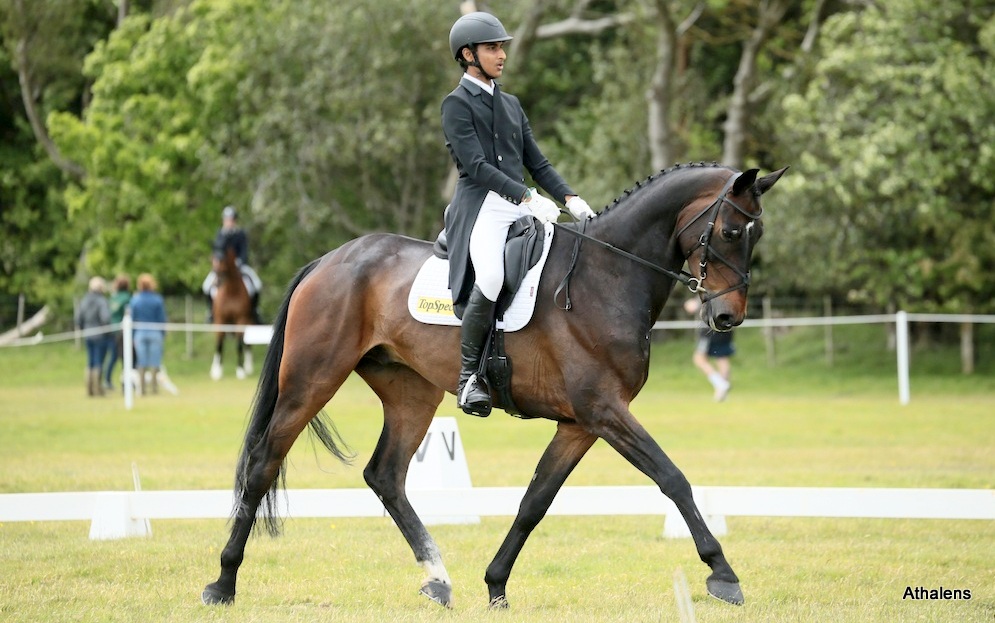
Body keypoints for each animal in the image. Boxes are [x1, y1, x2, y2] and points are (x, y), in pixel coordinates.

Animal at [209, 240, 255, 380]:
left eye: (223, 258)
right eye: (212, 258)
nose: (217, 282)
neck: (231, 291)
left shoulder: (241, 320)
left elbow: (240, 344)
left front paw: (240, 370)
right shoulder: (220, 320)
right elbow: (219, 343)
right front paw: (217, 372)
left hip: (248, 321)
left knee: (247, 343)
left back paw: (248, 367)